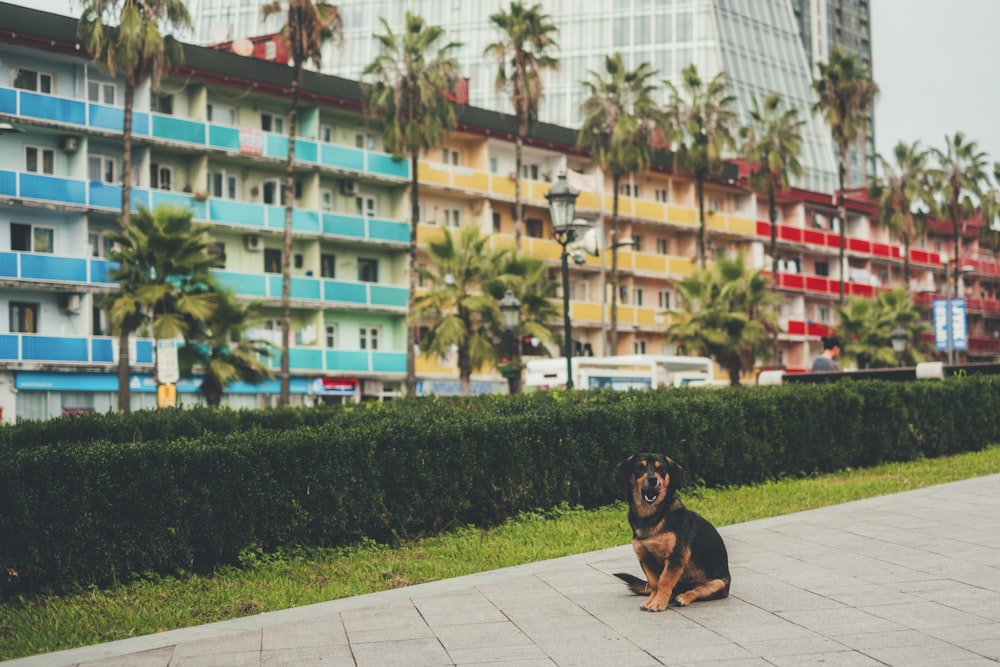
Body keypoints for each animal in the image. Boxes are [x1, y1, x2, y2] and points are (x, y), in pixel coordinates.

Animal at [612, 454, 732, 612]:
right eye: (639, 467)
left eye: (662, 469)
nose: (653, 480)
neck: (652, 517)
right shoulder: (645, 558)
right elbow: (654, 584)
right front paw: (652, 600)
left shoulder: (675, 557)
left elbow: (664, 581)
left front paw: (658, 603)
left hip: (717, 583)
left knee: (696, 591)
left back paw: (682, 598)